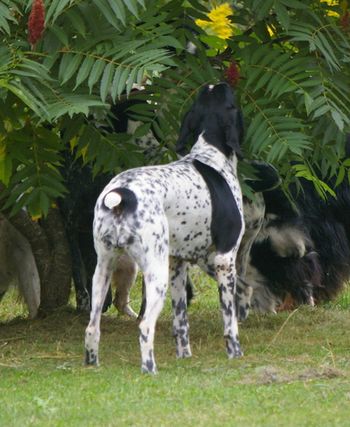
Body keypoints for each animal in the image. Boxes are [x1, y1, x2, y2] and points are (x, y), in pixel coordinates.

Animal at [86, 82, 246, 372]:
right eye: (230, 97)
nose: (220, 81)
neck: (210, 155)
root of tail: (122, 194)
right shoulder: (225, 259)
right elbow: (230, 320)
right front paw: (235, 353)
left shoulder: (178, 265)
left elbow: (180, 322)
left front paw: (185, 356)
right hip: (153, 274)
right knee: (145, 326)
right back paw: (149, 369)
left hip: (103, 271)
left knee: (92, 327)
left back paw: (91, 365)